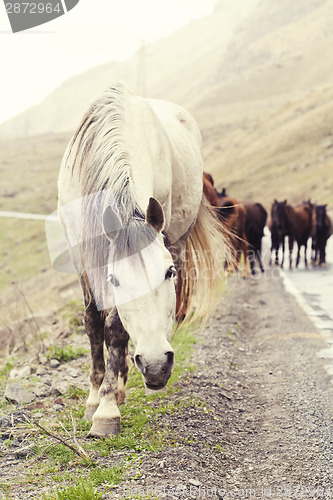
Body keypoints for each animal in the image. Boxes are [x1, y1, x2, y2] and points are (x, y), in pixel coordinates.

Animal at [57, 84, 226, 436]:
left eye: (169, 273)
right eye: (114, 280)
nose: (155, 365)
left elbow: (115, 328)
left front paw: (107, 407)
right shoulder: (80, 255)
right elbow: (93, 321)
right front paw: (95, 396)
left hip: (178, 237)